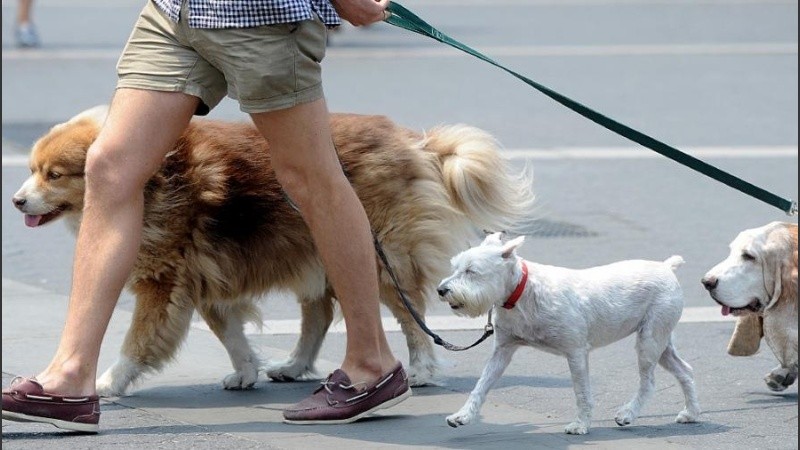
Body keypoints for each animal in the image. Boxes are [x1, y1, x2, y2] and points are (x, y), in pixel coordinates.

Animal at [12, 105, 536, 398]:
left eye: (54, 175)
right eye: (33, 169)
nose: (16, 201)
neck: (149, 179)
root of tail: (415, 142)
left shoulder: (166, 282)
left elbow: (137, 341)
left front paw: (105, 384)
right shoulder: (204, 275)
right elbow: (230, 333)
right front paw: (246, 371)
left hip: (379, 256)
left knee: (412, 318)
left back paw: (422, 370)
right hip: (319, 250)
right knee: (319, 315)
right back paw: (295, 365)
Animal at [438, 234, 700, 434]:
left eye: (471, 271)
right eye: (456, 267)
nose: (441, 289)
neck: (522, 292)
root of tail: (667, 266)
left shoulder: (576, 352)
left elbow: (581, 392)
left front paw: (580, 425)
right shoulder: (503, 350)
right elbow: (481, 385)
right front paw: (462, 416)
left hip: (650, 341)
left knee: (649, 382)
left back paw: (627, 414)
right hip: (661, 342)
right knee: (685, 371)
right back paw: (691, 413)